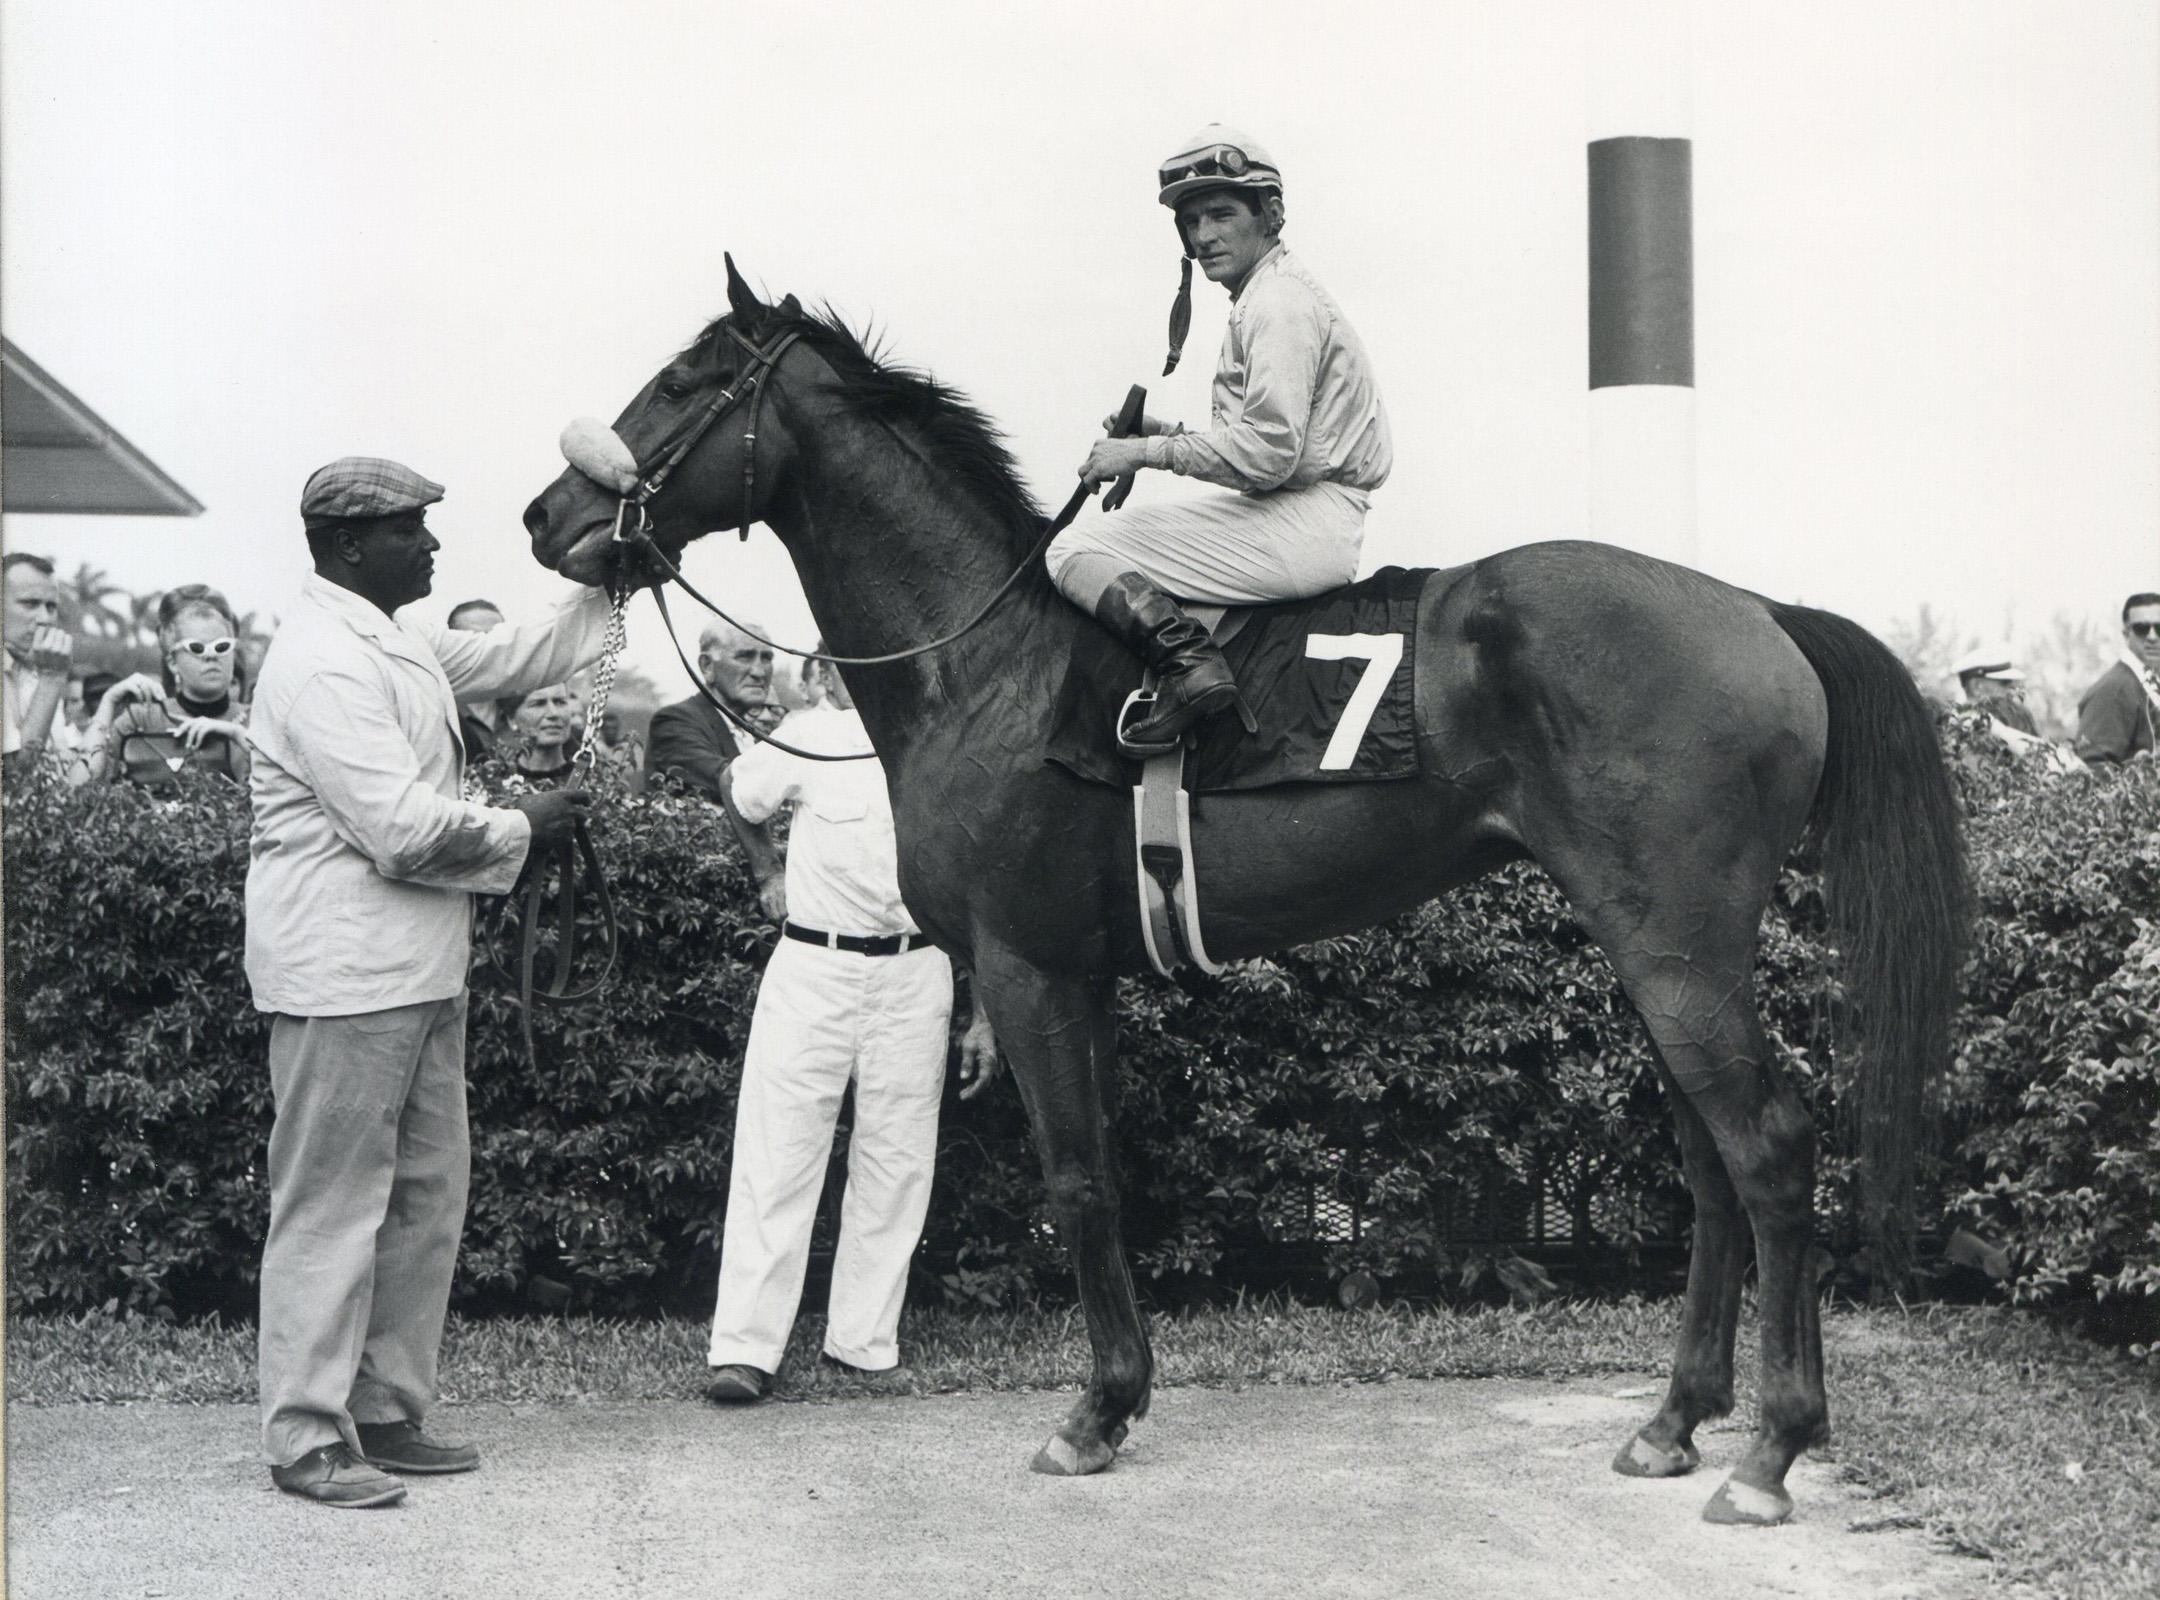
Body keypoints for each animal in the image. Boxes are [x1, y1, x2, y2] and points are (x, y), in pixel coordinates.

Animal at [527, 262, 1978, 1520]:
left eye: (683, 378)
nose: (547, 516)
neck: (987, 662)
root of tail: (1761, 611)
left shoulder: (1027, 964)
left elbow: (1076, 1181)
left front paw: (1095, 1413)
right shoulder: (1079, 972)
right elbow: (1104, 1171)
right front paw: (1120, 1395)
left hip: (1676, 942)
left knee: (1768, 1143)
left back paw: (1771, 1451)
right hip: (1660, 946)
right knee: (1708, 1156)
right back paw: (1676, 1423)